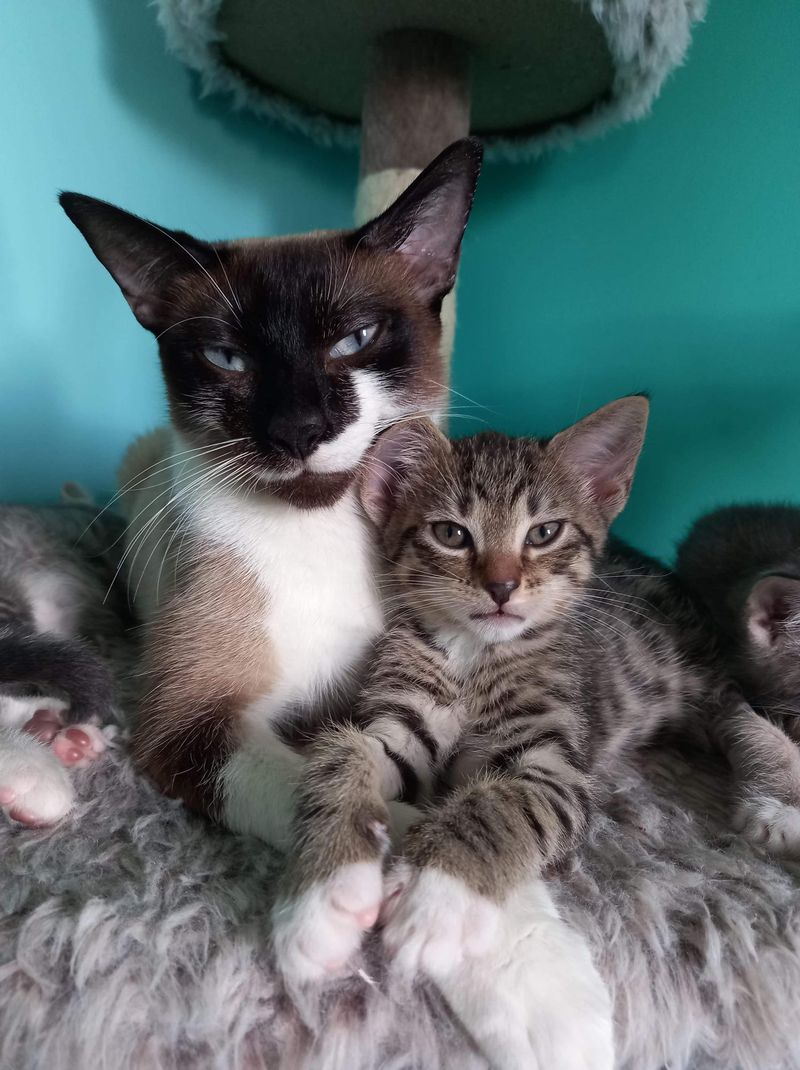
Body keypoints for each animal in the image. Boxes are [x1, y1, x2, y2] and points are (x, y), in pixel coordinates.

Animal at [60, 140, 481, 843]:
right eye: (228, 358)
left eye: (355, 340)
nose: (297, 430)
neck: (323, 540)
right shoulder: (191, 723)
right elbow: (329, 785)